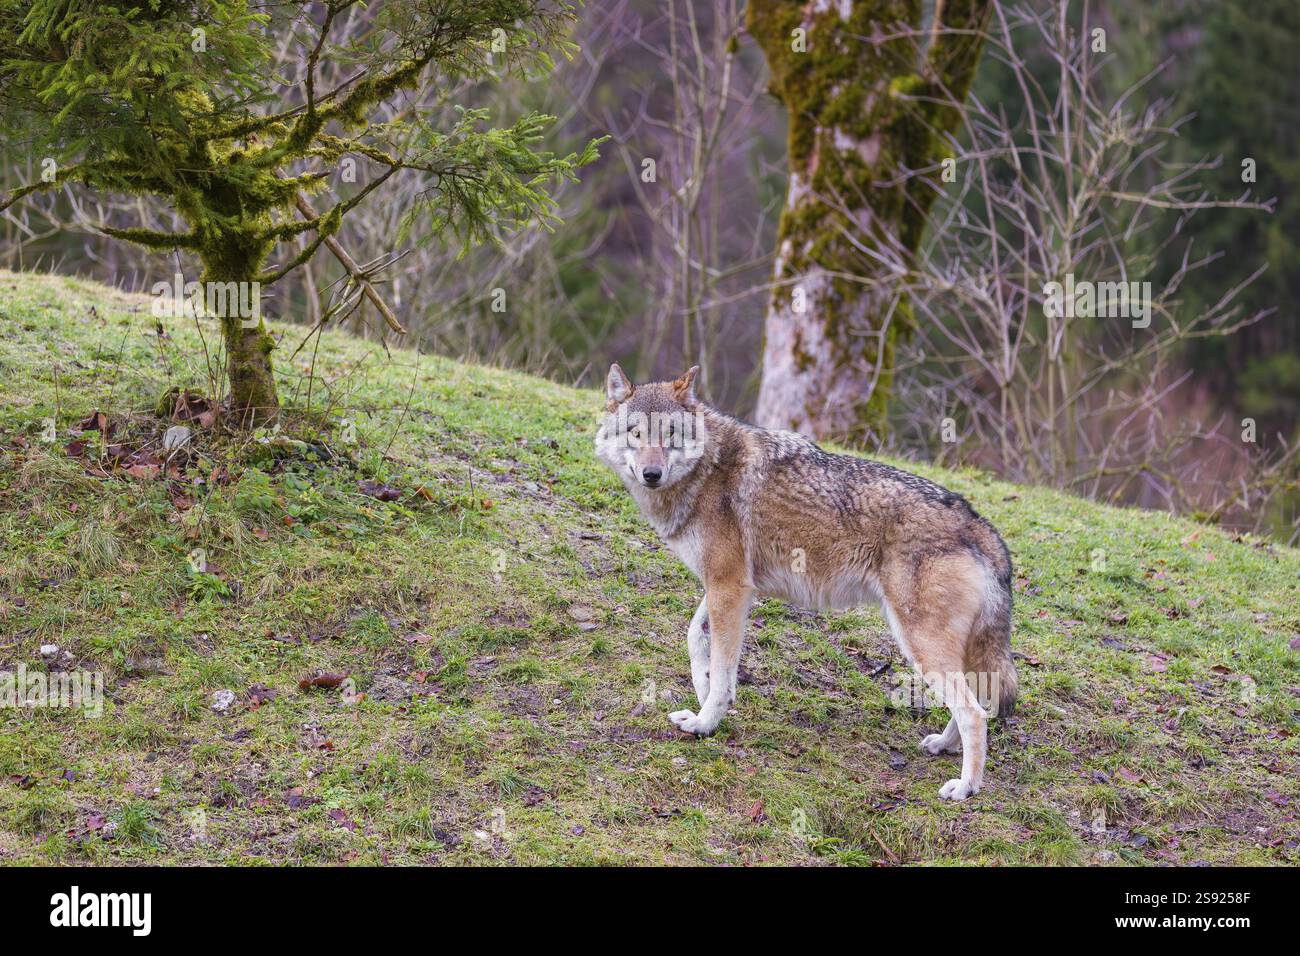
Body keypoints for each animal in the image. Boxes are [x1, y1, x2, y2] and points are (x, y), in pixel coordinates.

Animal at [594, 364, 1017, 800]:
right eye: (636, 433)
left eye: (670, 434)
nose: (652, 474)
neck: (707, 471)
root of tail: (979, 524)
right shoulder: (731, 587)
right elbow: (696, 638)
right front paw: (703, 689)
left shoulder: (728, 586)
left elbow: (722, 663)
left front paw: (705, 722)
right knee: (975, 701)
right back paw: (943, 746)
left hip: (920, 644)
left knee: (975, 713)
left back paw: (965, 787)